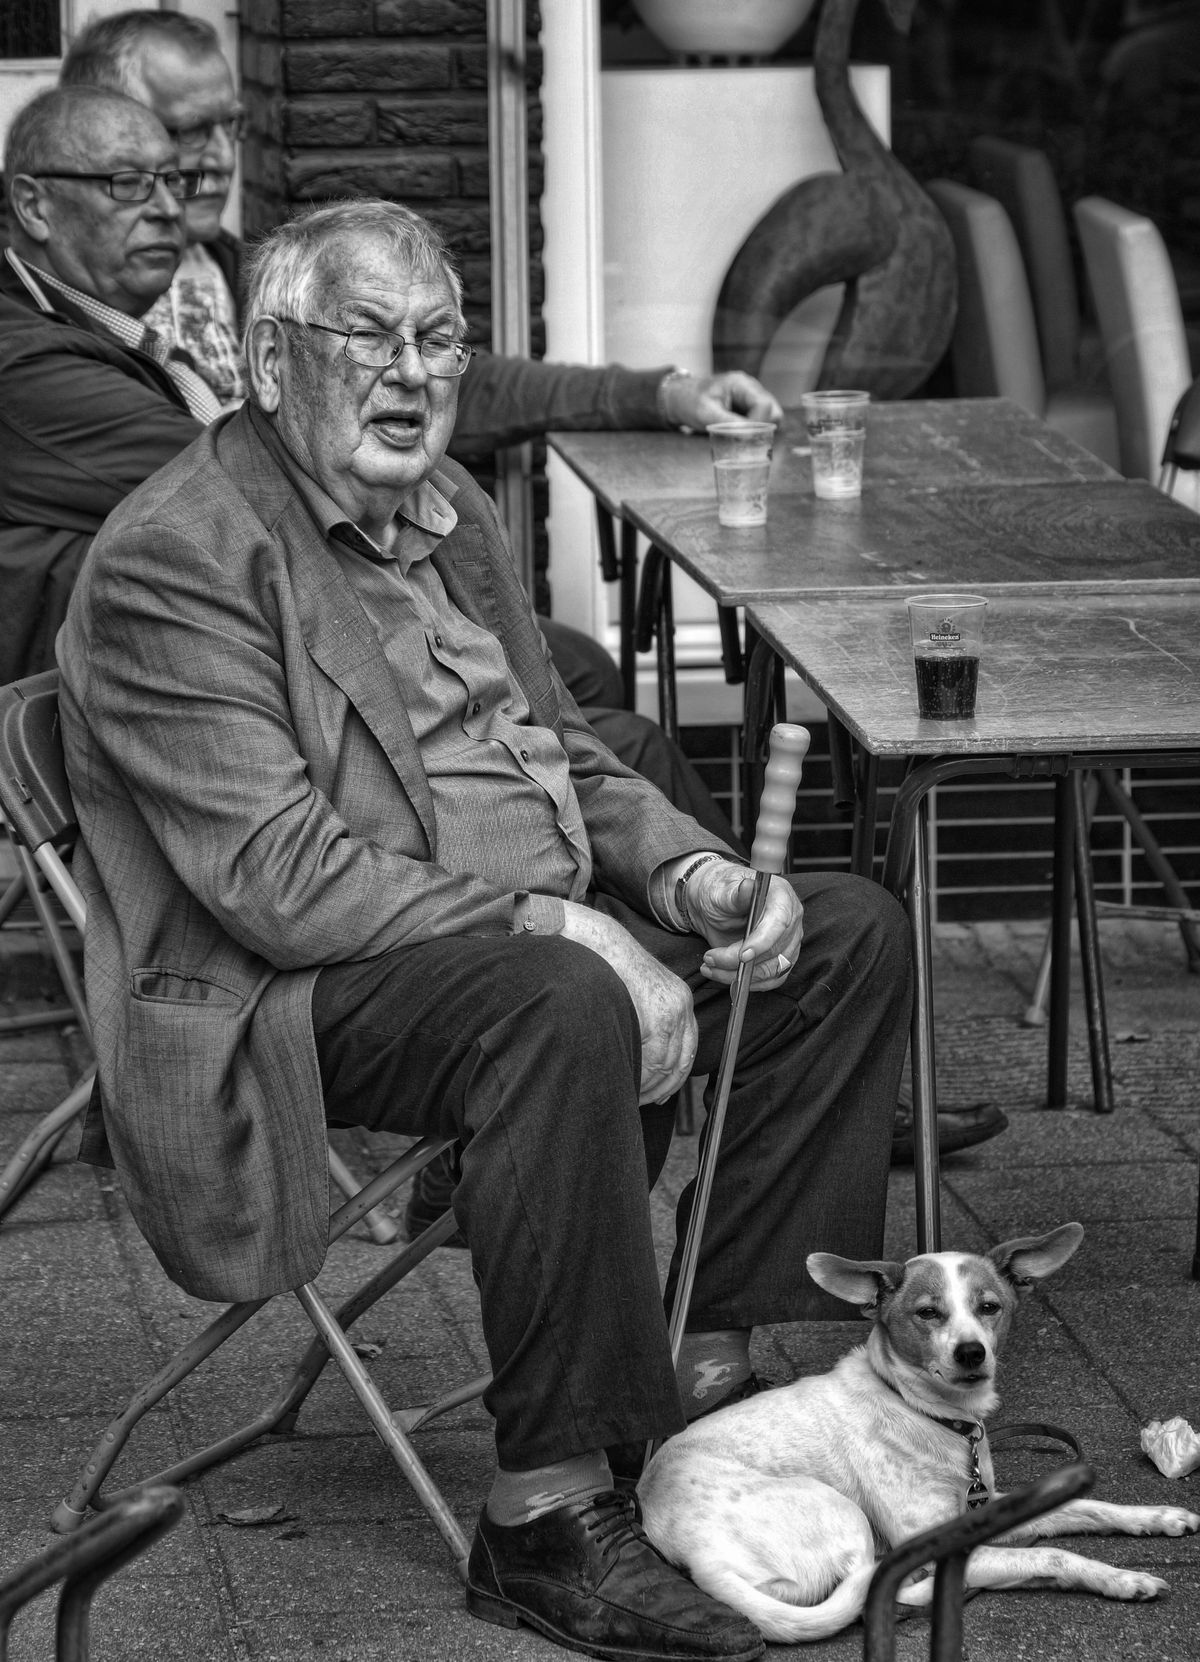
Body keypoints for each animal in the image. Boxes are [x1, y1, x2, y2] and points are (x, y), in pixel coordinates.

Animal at [634, 1229, 1196, 1642]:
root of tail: (694, 1552)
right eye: (927, 1312)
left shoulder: (984, 1507)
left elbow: (1088, 1507)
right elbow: (1053, 1553)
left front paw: (1159, 1517)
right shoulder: (938, 1540)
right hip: (844, 1511)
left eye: (989, 1307)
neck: (928, 1413)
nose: (971, 1353)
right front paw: (1123, 1579)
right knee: (868, 1590)